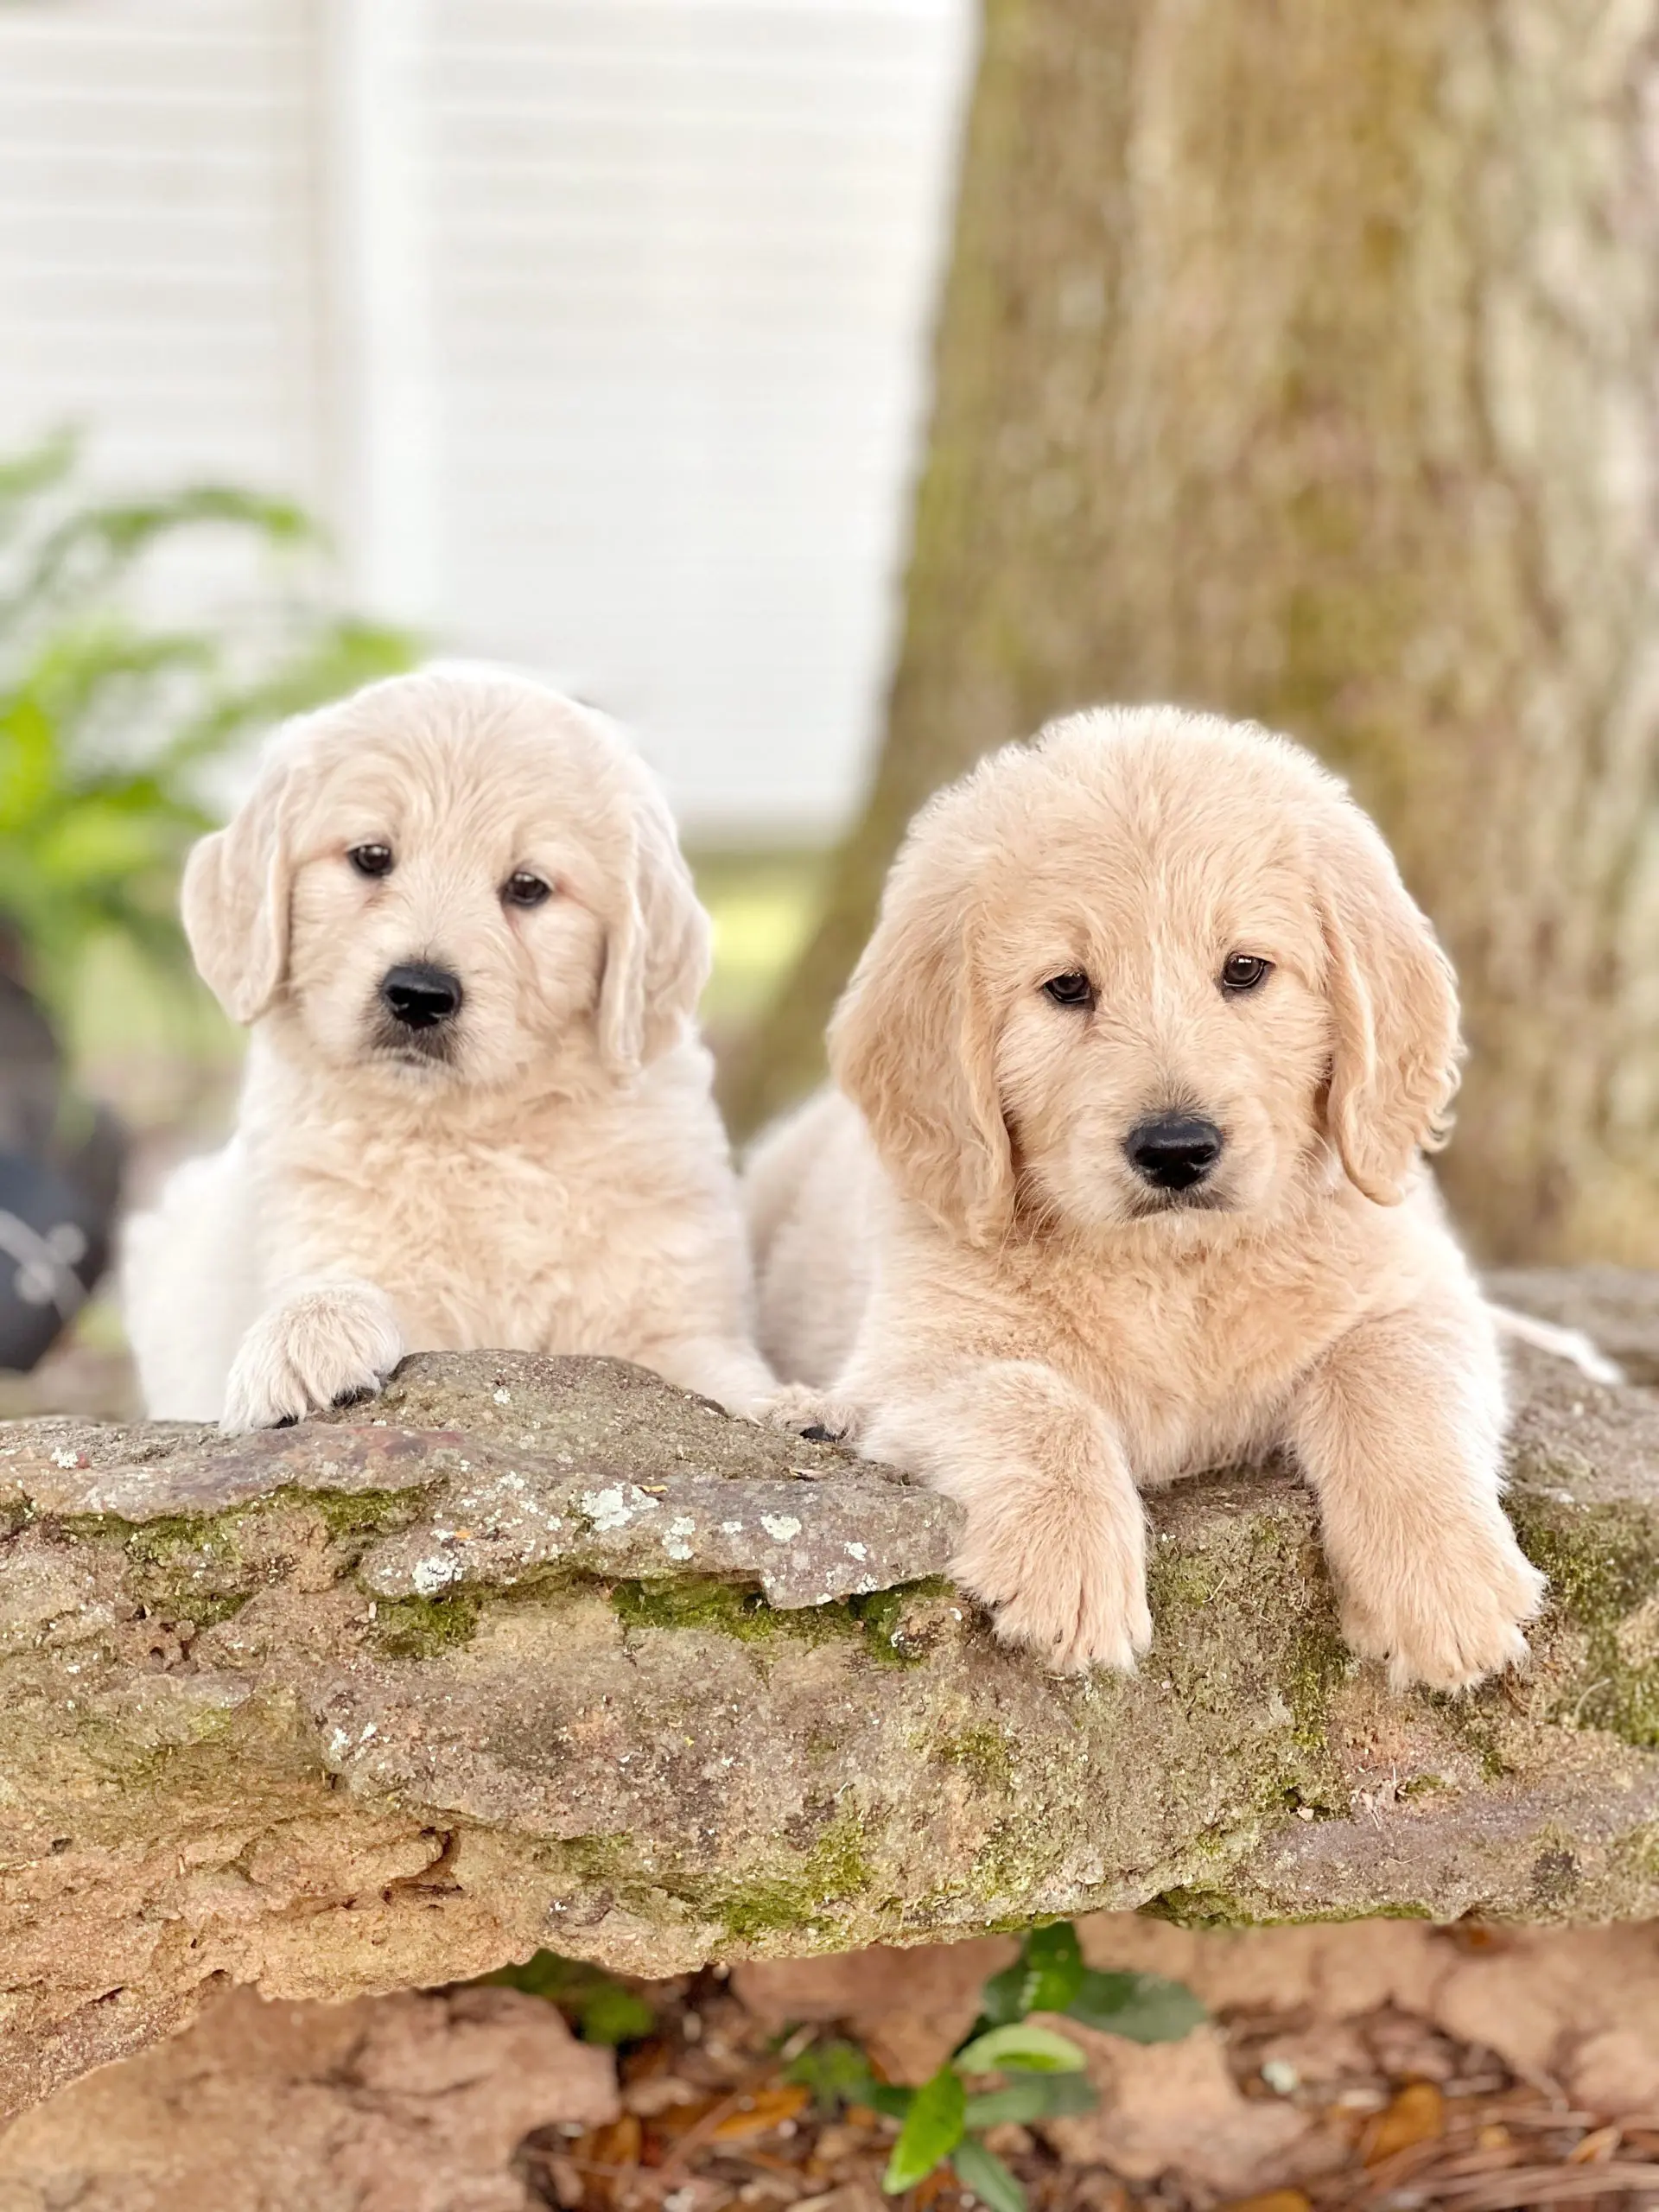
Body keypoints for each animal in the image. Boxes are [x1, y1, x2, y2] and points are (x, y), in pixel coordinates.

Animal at [126, 664, 779, 1433]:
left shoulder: (674, 1308)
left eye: (528, 887)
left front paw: (801, 1407)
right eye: (371, 857)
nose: (418, 995)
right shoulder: (324, 1223)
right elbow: (346, 1285)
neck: (475, 1134)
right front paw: (305, 1337)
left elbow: (722, 1374)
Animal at [747, 708, 1557, 1689]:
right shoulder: (917, 1361)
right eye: (1066, 987)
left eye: (1244, 970)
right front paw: (1070, 1568)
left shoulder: (1415, 1292)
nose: (1176, 1150)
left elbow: (1393, 1377)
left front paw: (1446, 1582)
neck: (1174, 1269)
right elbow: (1034, 1398)